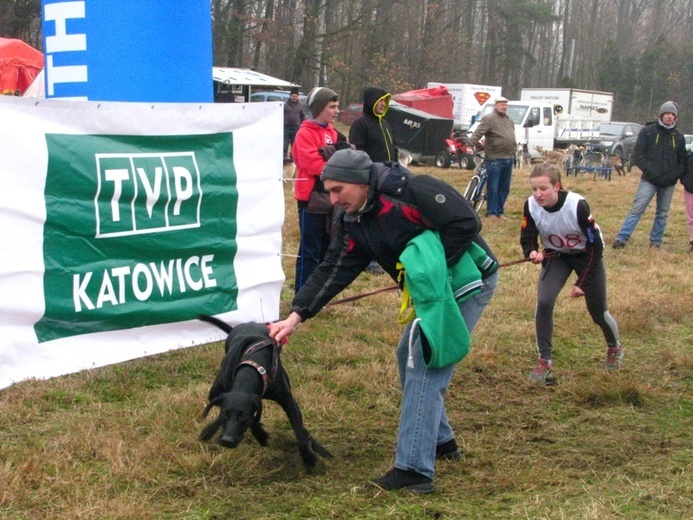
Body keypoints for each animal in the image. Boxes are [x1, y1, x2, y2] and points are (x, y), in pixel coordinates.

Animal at [197, 314, 332, 470]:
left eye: (243, 417)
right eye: (225, 413)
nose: (227, 440)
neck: (253, 366)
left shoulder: (287, 399)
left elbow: (298, 428)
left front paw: (308, 457)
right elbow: (253, 418)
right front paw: (261, 435)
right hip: (215, 391)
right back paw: (209, 431)